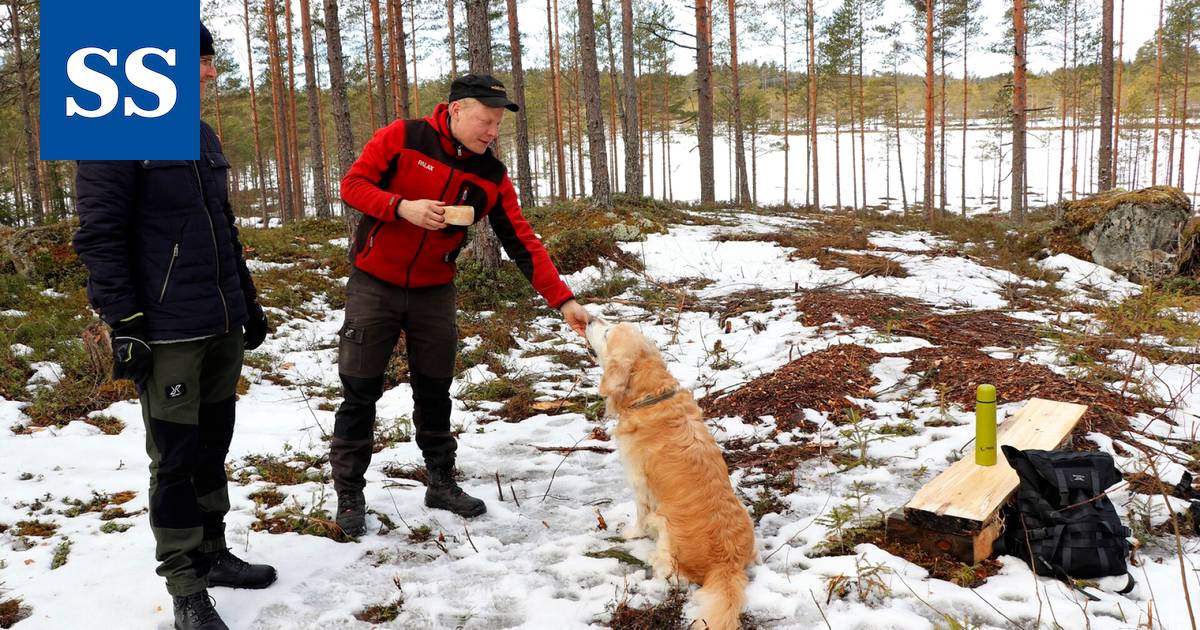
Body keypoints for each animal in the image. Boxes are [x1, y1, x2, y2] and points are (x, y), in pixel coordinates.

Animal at [585, 319, 753, 628]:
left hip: (666, 529)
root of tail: (728, 564)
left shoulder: (639, 483)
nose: (589, 319)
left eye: (607, 332)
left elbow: (639, 515)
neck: (651, 396)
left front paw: (631, 534)